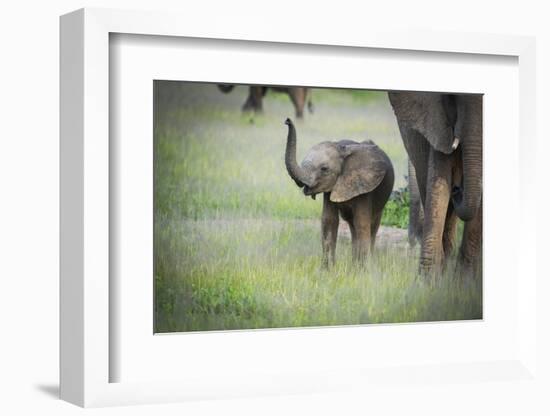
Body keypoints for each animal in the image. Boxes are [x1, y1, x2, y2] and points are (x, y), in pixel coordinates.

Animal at [284, 118, 396, 266]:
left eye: (324, 169)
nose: (287, 121)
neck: (341, 149)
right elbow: (329, 221)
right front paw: (327, 269)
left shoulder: (365, 187)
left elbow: (362, 223)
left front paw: (362, 270)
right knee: (352, 225)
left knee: (372, 224)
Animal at [390, 92, 486, 278]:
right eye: (453, 98)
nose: (457, 189)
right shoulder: (438, 124)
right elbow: (439, 182)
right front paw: (427, 281)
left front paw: (466, 279)